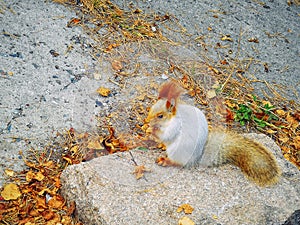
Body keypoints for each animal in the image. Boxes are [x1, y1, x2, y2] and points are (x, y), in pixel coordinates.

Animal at [145, 80, 282, 186]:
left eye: (160, 116)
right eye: (151, 108)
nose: (147, 120)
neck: (172, 119)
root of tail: (197, 158)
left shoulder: (176, 126)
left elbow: (167, 136)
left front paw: (152, 130)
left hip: (178, 151)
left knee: (178, 163)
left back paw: (166, 160)